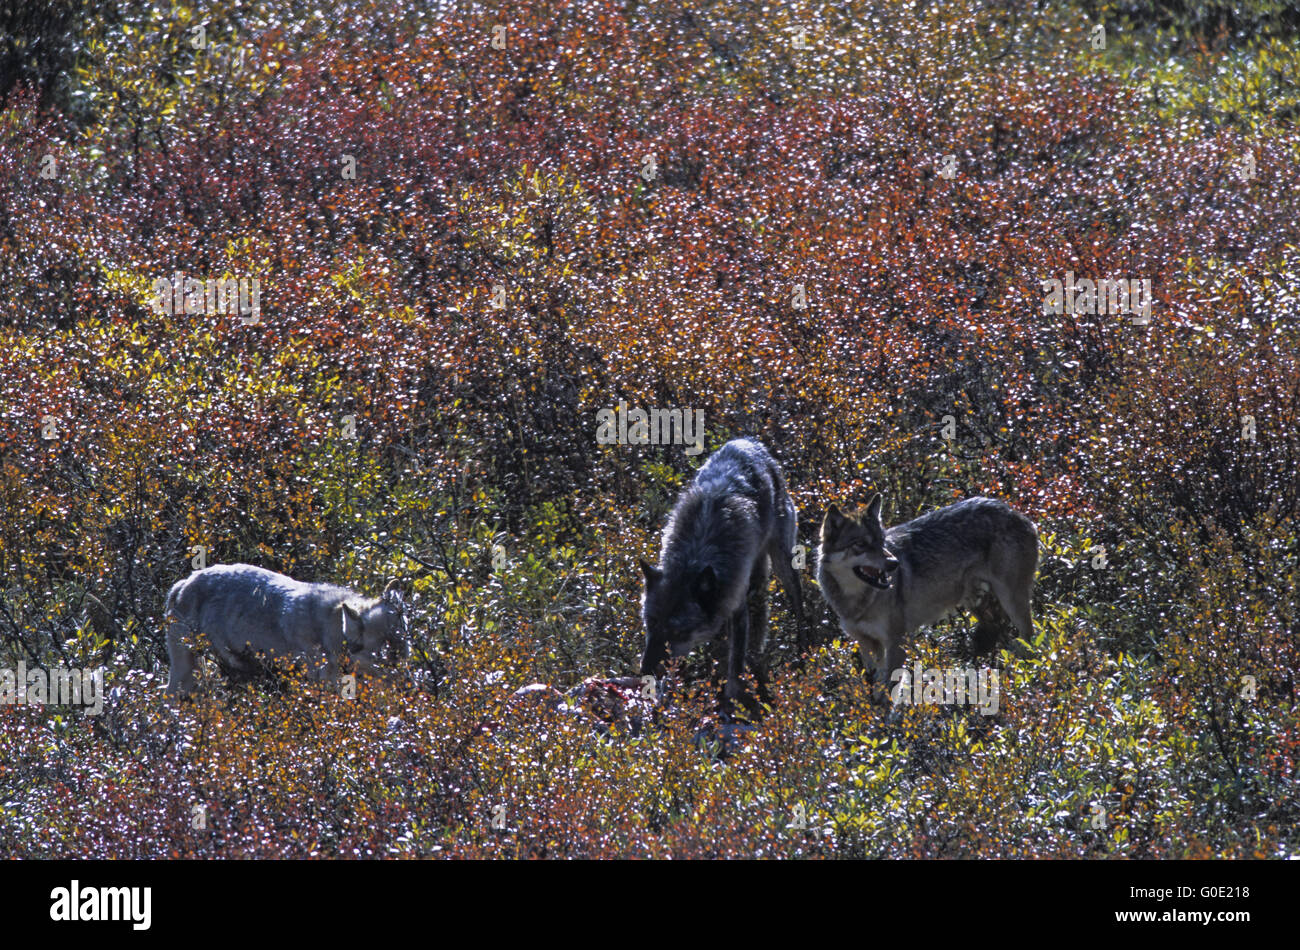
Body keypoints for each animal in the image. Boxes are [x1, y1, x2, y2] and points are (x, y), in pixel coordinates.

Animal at [163, 561, 405, 696]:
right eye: (385, 656)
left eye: (404, 652)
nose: (409, 685)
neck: (329, 632)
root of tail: (181, 585)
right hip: (185, 666)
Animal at [637, 439, 806, 706]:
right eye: (651, 623)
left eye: (676, 632)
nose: (645, 671)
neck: (695, 555)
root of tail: (747, 441)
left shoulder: (737, 607)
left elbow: (735, 668)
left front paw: (734, 702)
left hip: (783, 562)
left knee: (798, 603)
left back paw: (804, 651)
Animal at [816, 499, 1040, 686]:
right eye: (861, 545)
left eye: (881, 541)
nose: (894, 563)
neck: (857, 602)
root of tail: (1018, 514)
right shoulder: (867, 645)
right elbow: (876, 688)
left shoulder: (897, 643)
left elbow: (888, 691)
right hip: (979, 607)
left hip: (1012, 603)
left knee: (1029, 641)